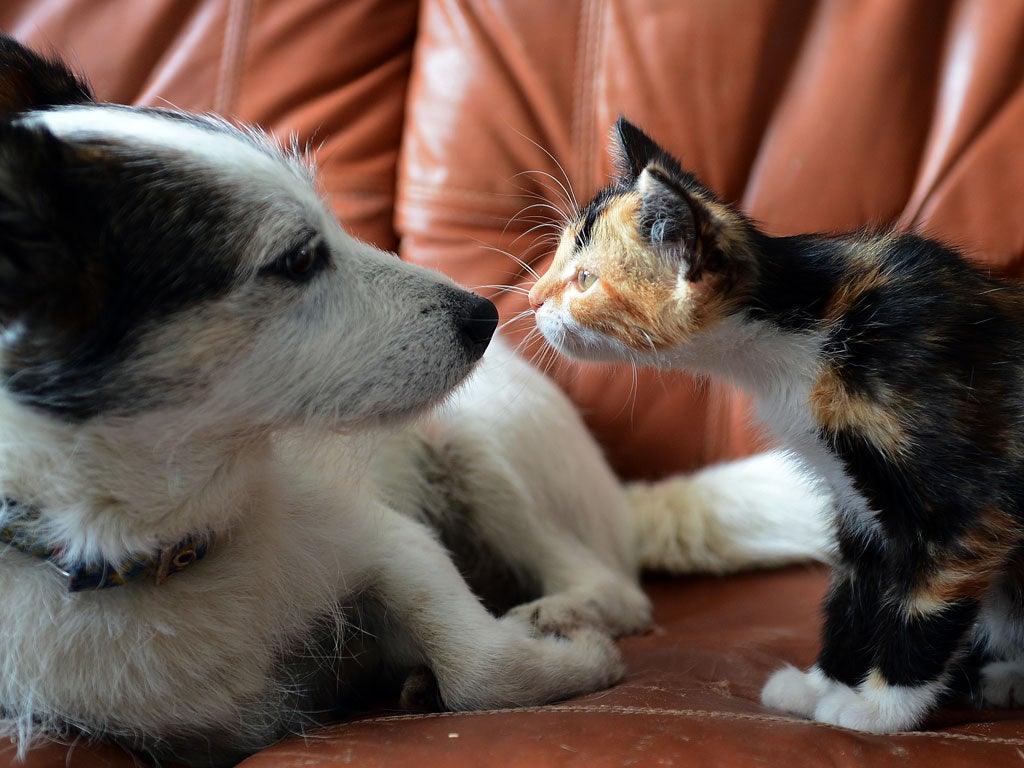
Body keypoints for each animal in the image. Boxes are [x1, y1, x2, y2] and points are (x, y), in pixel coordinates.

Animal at [0, 37, 831, 768]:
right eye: (296, 259)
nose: (490, 316)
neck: (159, 548)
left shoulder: (392, 543)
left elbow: (480, 668)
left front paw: (570, 658)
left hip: (480, 450)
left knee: (612, 587)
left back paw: (561, 611)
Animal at [528, 118, 1024, 733]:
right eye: (558, 260)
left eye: (585, 279)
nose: (530, 298)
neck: (806, 327)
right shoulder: (854, 502)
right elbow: (856, 588)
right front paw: (822, 684)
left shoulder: (960, 500)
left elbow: (926, 602)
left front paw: (880, 708)